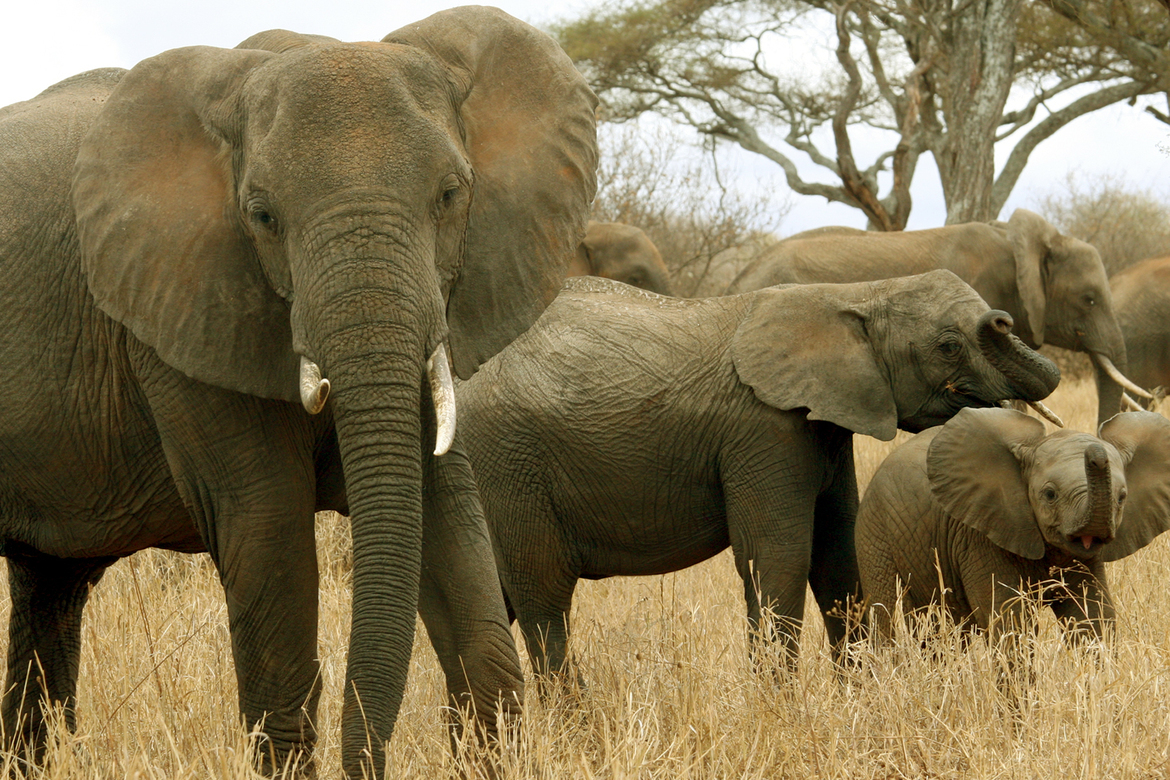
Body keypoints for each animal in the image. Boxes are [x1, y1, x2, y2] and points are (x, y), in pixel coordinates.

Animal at [0, 7, 597, 779]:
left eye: (450, 194)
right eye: (261, 216)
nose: (364, 763)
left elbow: (451, 531)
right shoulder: (177, 319)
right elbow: (267, 533)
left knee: (48, 592)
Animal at [456, 271, 1061, 679]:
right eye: (949, 346)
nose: (1003, 317)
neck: (855, 293)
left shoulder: (825, 428)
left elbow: (837, 557)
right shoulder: (764, 429)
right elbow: (779, 558)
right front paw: (784, 710)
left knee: (496, 599)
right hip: (511, 466)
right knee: (543, 598)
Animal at [856, 408, 1170, 647]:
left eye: (1122, 497)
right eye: (1049, 494)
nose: (1094, 450)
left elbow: (1093, 619)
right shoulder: (980, 536)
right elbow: (1011, 623)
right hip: (873, 529)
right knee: (886, 611)